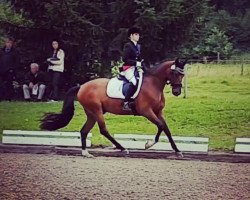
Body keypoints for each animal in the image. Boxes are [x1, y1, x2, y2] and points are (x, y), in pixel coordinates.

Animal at [40, 57, 187, 158]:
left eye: (182, 74)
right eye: (175, 73)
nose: (177, 92)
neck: (154, 84)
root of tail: (81, 86)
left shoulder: (158, 112)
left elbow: (166, 129)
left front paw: (177, 150)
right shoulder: (147, 112)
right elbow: (160, 126)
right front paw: (148, 144)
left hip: (91, 113)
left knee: (84, 131)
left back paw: (86, 153)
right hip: (96, 111)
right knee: (103, 130)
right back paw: (122, 148)